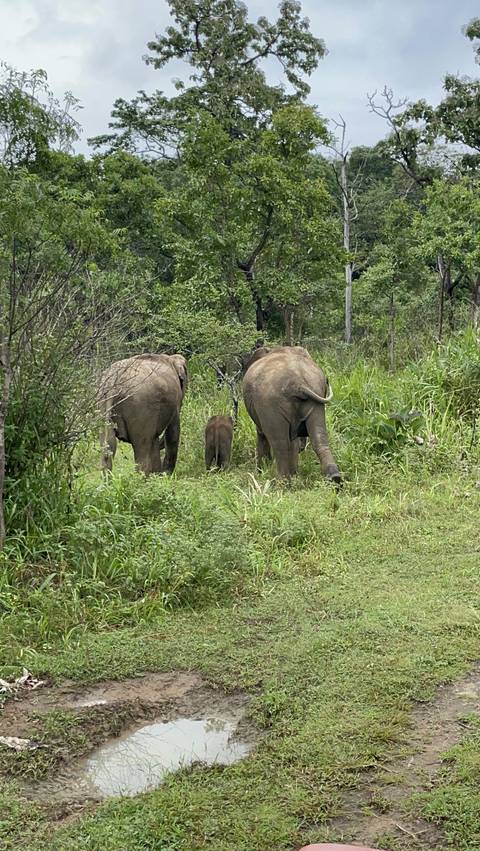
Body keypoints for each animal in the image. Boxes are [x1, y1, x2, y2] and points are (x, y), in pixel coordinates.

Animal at [242, 346, 341, 482]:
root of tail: (298, 383)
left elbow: (262, 434)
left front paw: (261, 471)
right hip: (316, 394)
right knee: (319, 438)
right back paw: (335, 477)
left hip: (270, 403)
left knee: (280, 444)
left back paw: (282, 482)